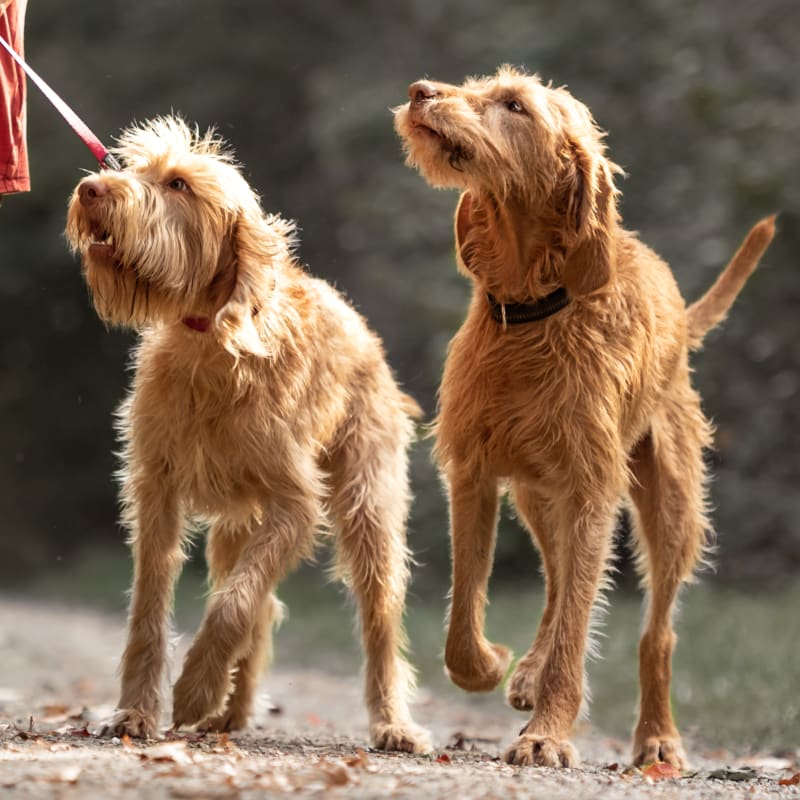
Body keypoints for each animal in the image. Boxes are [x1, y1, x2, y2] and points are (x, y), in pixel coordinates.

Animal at [64, 115, 432, 752]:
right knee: (256, 600)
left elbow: (235, 605)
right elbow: (152, 607)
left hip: (367, 513)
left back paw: (391, 723)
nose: (91, 189)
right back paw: (229, 713)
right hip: (237, 525)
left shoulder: (295, 503)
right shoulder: (156, 492)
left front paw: (193, 691)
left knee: (374, 619)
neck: (208, 340)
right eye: (133, 168)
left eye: (179, 184)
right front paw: (135, 712)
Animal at [394, 67, 776, 768]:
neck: (531, 312)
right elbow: (465, 614)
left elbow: (578, 625)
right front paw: (491, 666)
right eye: (478, 85)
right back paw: (526, 672)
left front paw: (547, 733)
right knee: (555, 582)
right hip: (535, 495)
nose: (420, 91)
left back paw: (656, 736)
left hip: (668, 508)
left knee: (654, 631)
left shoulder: (592, 487)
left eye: (514, 105)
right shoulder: (474, 474)